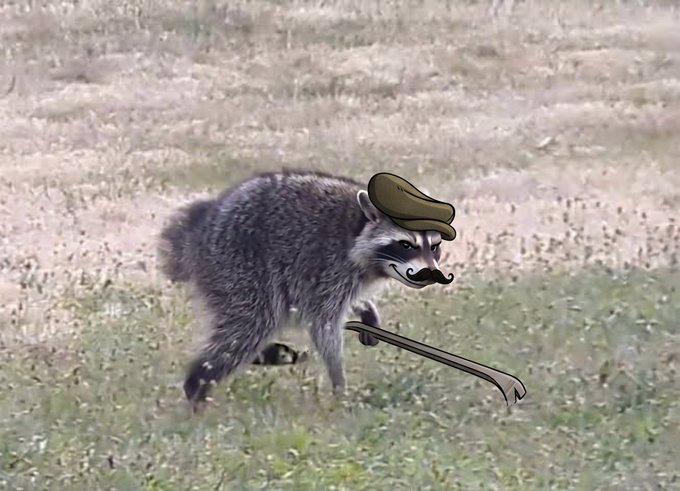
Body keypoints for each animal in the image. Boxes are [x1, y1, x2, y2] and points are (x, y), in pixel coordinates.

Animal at [158, 169, 450, 406]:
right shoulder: (328, 265)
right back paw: (198, 384)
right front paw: (338, 381)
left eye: (434, 246)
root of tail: (200, 229)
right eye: (406, 245)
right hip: (237, 265)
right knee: (251, 324)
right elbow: (323, 324)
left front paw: (365, 308)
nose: (430, 275)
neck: (357, 225)